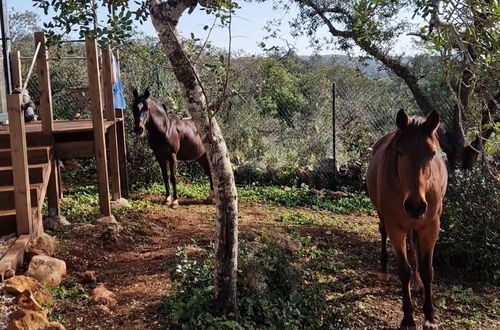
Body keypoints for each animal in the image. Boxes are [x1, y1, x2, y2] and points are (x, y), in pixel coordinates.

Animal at [366, 109, 448, 328]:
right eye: (400, 152)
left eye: (432, 153)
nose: (415, 206)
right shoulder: (395, 226)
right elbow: (404, 271)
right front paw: (408, 318)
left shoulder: (431, 226)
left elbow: (427, 270)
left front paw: (429, 317)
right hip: (384, 217)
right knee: (383, 232)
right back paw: (384, 269)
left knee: (414, 246)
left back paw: (418, 282)